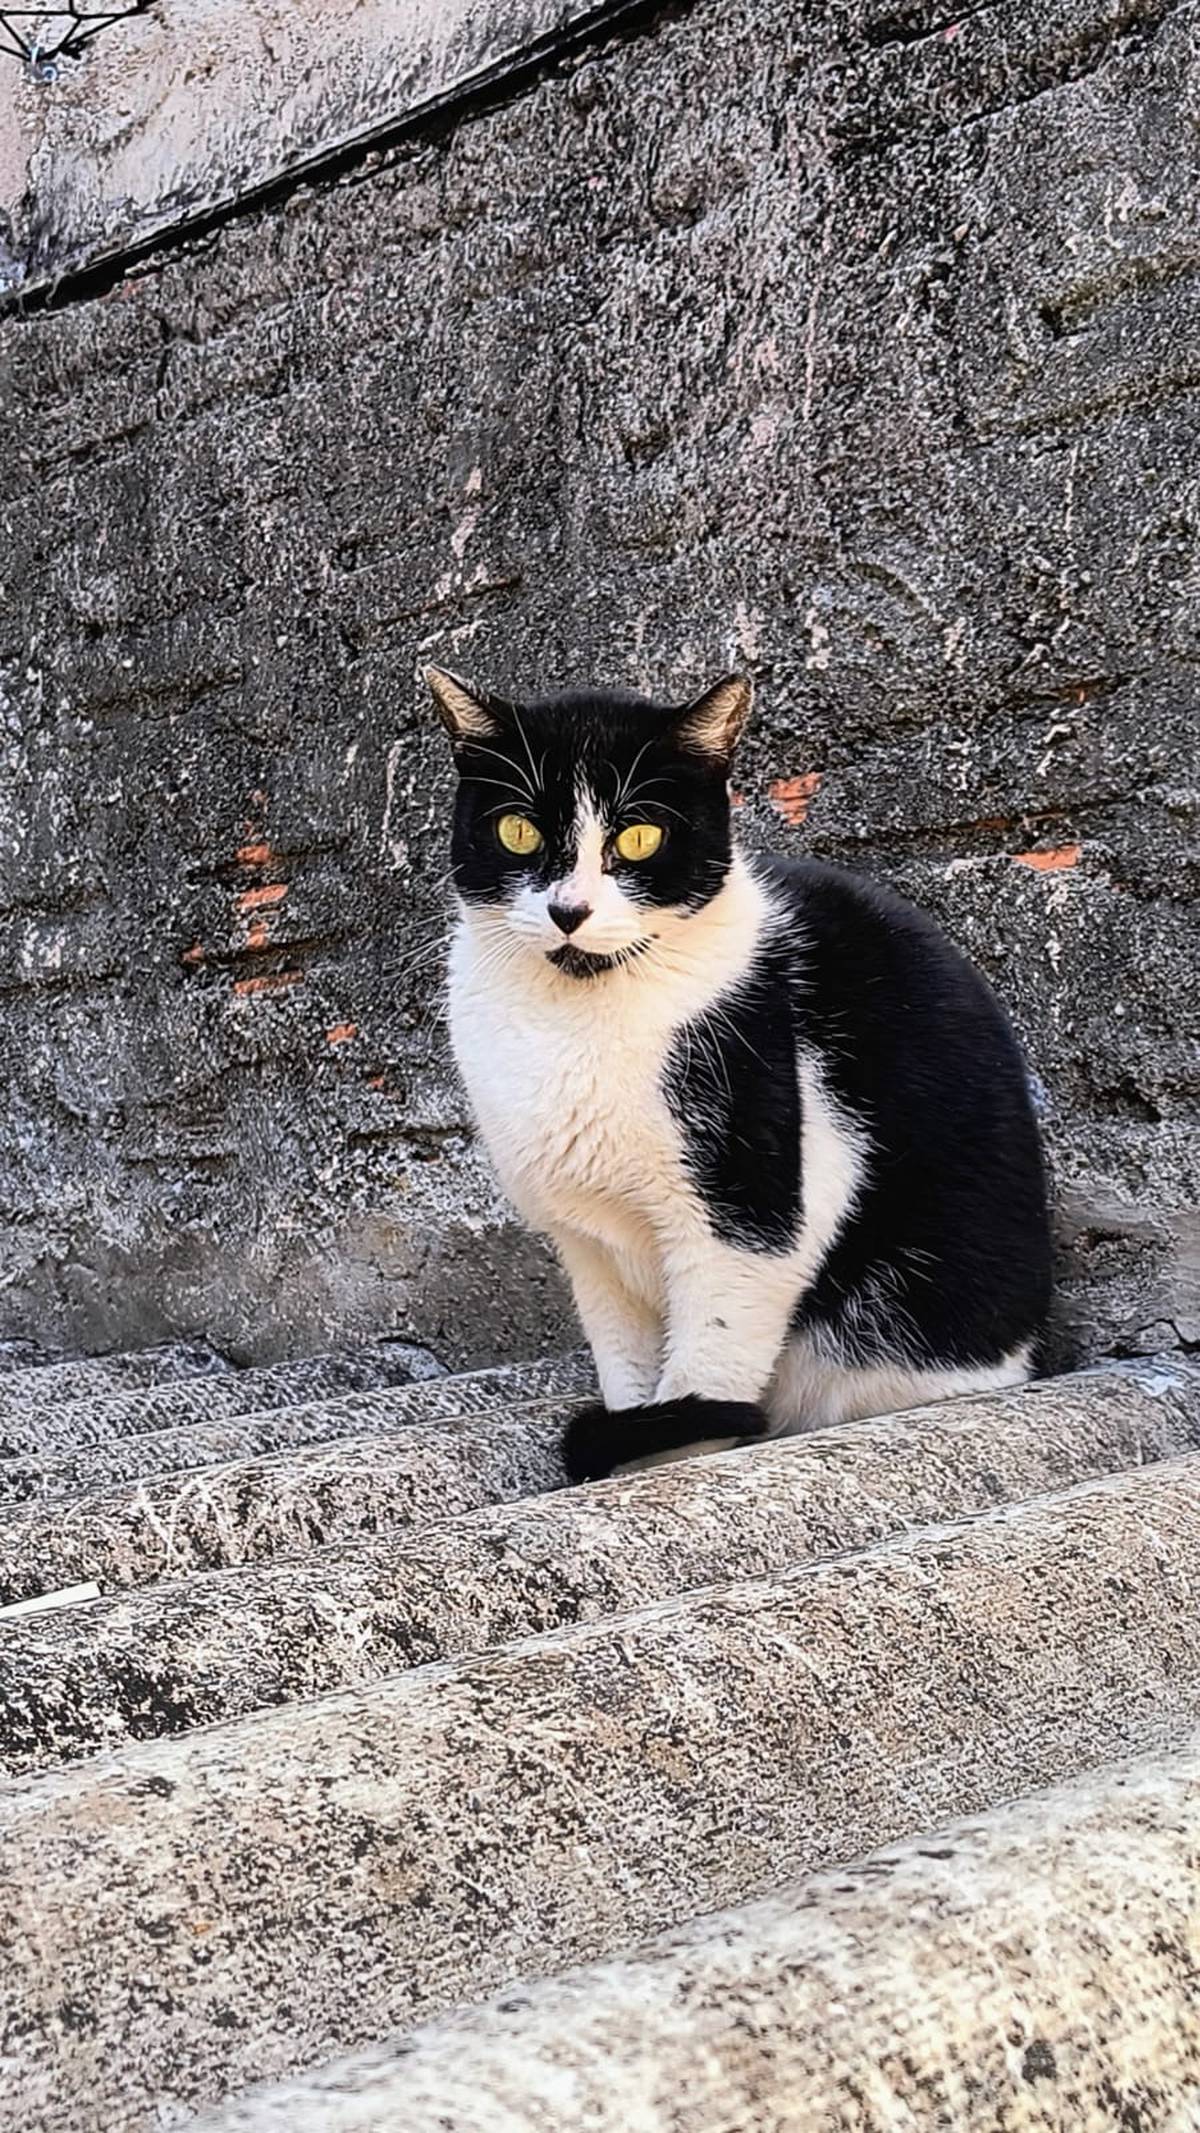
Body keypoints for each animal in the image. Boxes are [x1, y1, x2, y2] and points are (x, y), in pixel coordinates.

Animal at [428, 665, 1052, 1483]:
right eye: (518, 830)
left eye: (640, 835)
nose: (569, 910)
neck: (573, 1019)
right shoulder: (588, 1244)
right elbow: (627, 1367)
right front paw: (636, 1444)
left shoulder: (750, 1213)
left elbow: (709, 1361)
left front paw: (671, 1459)